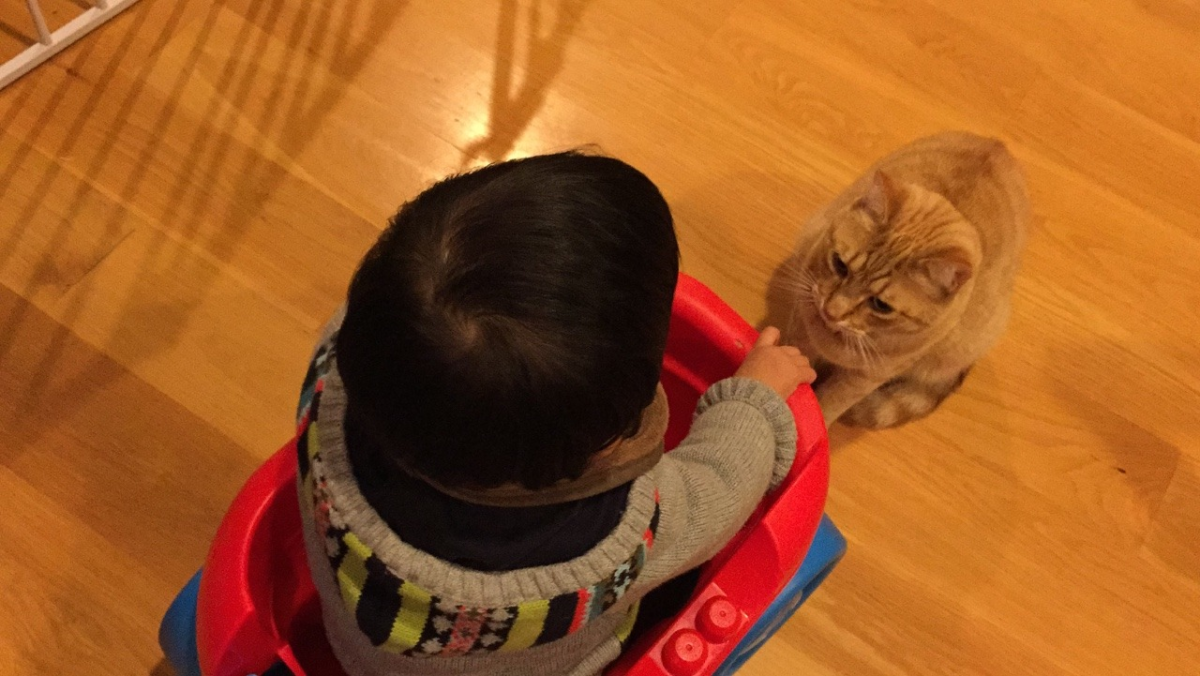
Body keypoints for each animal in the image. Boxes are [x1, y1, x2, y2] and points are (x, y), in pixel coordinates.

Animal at [767, 131, 1028, 428]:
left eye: (881, 305)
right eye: (840, 265)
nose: (831, 311)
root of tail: (1000, 146)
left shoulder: (867, 377)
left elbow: (829, 404)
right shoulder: (802, 324)